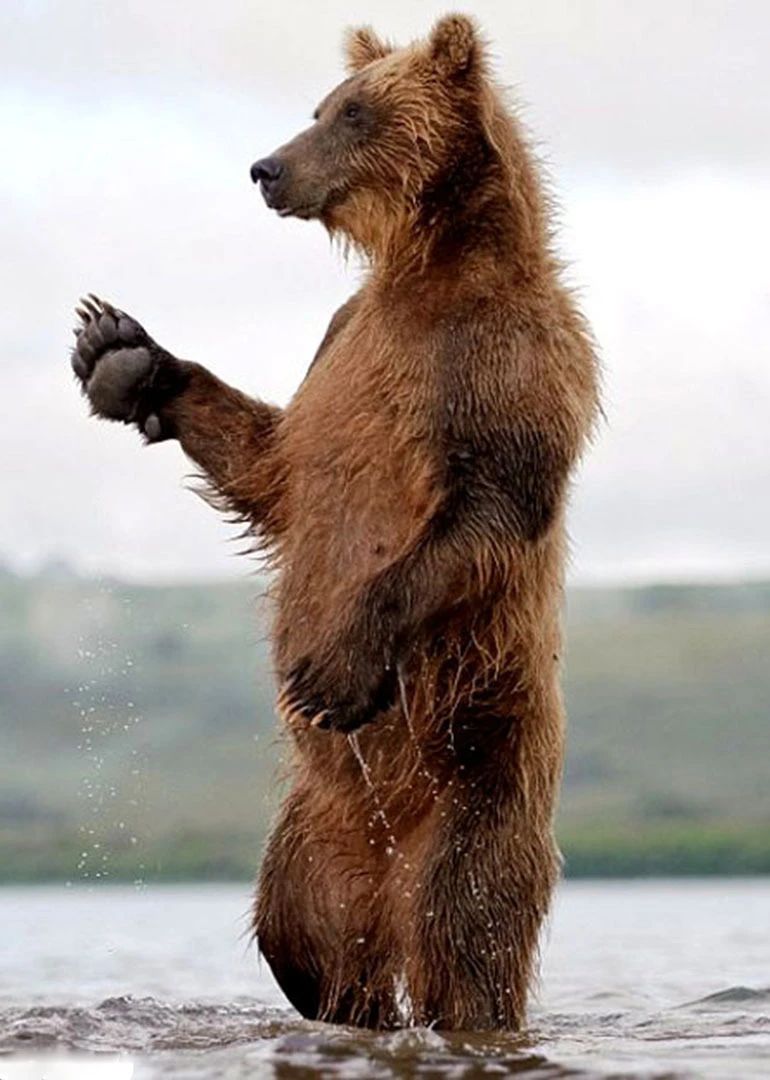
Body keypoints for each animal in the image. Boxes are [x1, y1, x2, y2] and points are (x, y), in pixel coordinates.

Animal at [71, 14, 600, 1031]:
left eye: (353, 112)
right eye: (320, 106)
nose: (266, 167)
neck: (431, 269)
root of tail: (387, 871)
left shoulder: (509, 359)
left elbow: (486, 509)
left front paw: (335, 671)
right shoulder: (342, 348)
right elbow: (275, 468)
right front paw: (120, 352)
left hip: (481, 762)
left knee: (465, 935)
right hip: (314, 835)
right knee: (304, 942)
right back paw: (353, 1002)